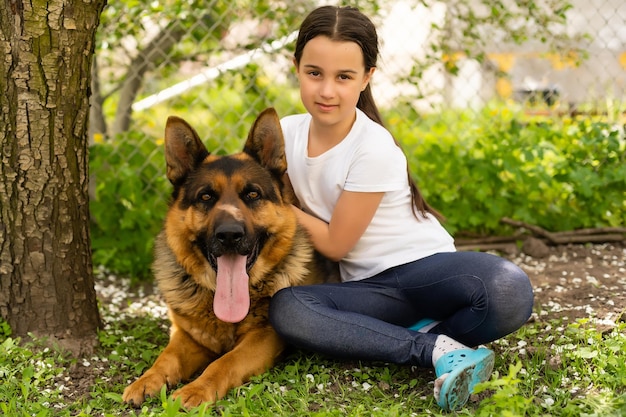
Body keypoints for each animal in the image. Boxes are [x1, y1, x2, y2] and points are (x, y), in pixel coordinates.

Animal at [123, 106, 336, 406]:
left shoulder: (263, 338)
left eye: (252, 194)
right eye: (206, 197)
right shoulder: (188, 336)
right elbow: (166, 358)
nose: (229, 235)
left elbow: (224, 362)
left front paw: (196, 389)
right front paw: (146, 380)